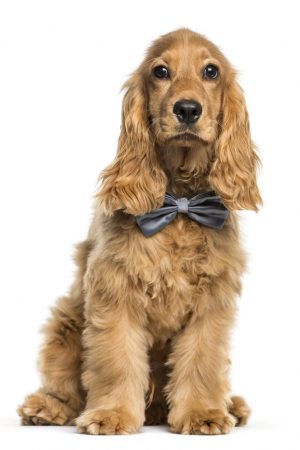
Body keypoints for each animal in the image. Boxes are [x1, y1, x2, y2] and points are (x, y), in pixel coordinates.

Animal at [17, 29, 260, 436]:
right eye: (160, 71)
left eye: (211, 71)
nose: (188, 109)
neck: (179, 202)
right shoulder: (115, 293)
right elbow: (116, 359)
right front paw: (112, 414)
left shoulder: (212, 300)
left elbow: (203, 359)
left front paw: (202, 413)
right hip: (65, 321)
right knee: (65, 384)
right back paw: (47, 407)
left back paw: (231, 405)